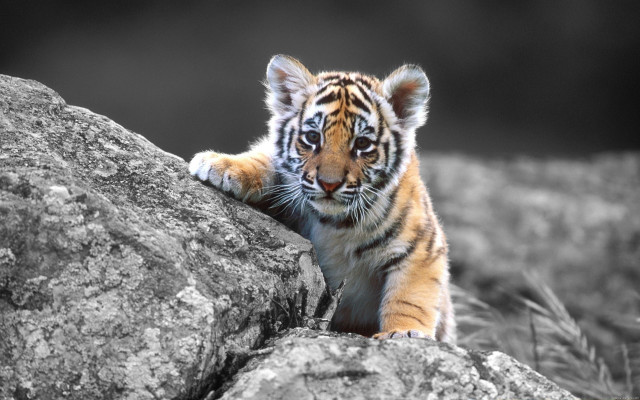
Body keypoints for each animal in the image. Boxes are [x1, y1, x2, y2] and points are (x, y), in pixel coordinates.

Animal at [189, 55, 455, 342]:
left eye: (362, 144)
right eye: (312, 137)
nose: (329, 183)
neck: (335, 223)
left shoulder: (422, 247)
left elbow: (410, 297)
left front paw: (404, 332)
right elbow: (264, 158)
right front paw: (220, 165)